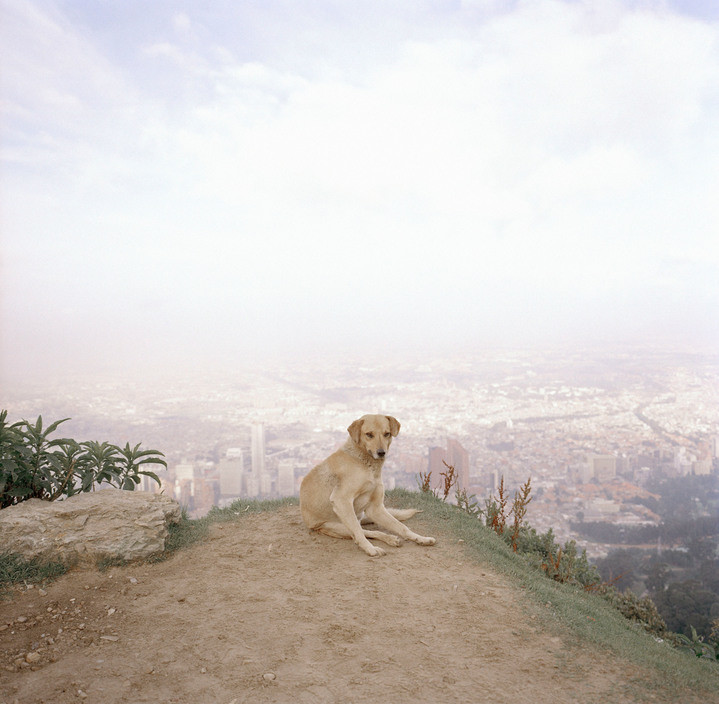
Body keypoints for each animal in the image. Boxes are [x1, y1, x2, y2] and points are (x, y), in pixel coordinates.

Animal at [300, 412, 436, 556]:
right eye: (369, 434)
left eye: (387, 433)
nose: (381, 452)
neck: (365, 463)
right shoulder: (341, 500)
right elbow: (359, 533)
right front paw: (370, 549)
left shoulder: (376, 508)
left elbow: (402, 527)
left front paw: (421, 539)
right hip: (340, 526)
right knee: (363, 532)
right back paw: (382, 542)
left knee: (371, 531)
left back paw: (391, 539)